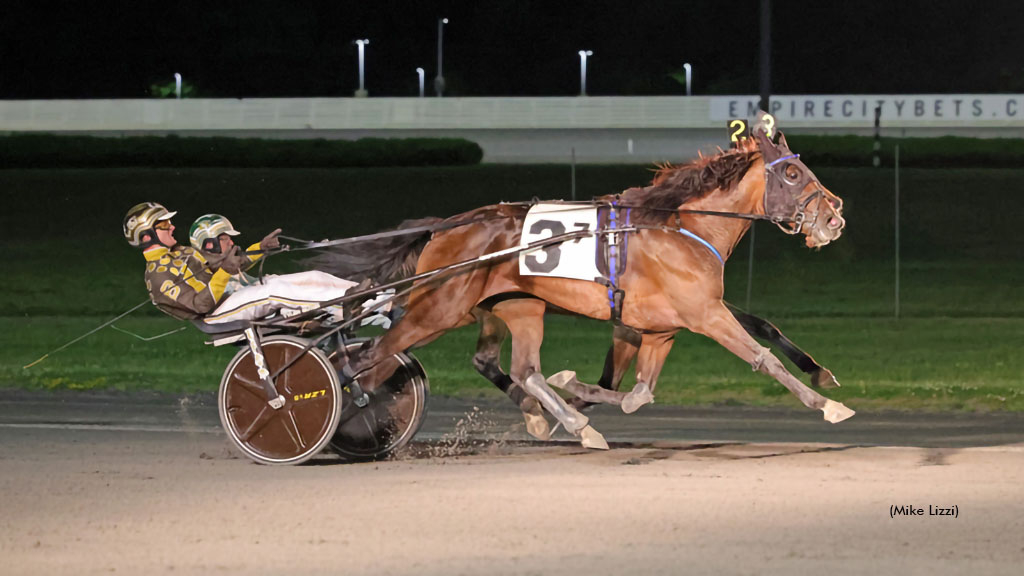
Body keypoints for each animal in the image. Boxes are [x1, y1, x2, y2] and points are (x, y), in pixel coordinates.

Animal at [335, 116, 847, 446]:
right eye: (793, 172)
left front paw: (574, 397)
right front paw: (827, 405)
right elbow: (762, 358)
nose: (835, 216)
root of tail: (445, 225)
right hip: (439, 309)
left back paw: (555, 419)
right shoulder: (703, 313)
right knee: (372, 357)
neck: (678, 226)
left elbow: (636, 395)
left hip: (516, 307)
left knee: (516, 368)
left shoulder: (661, 326)